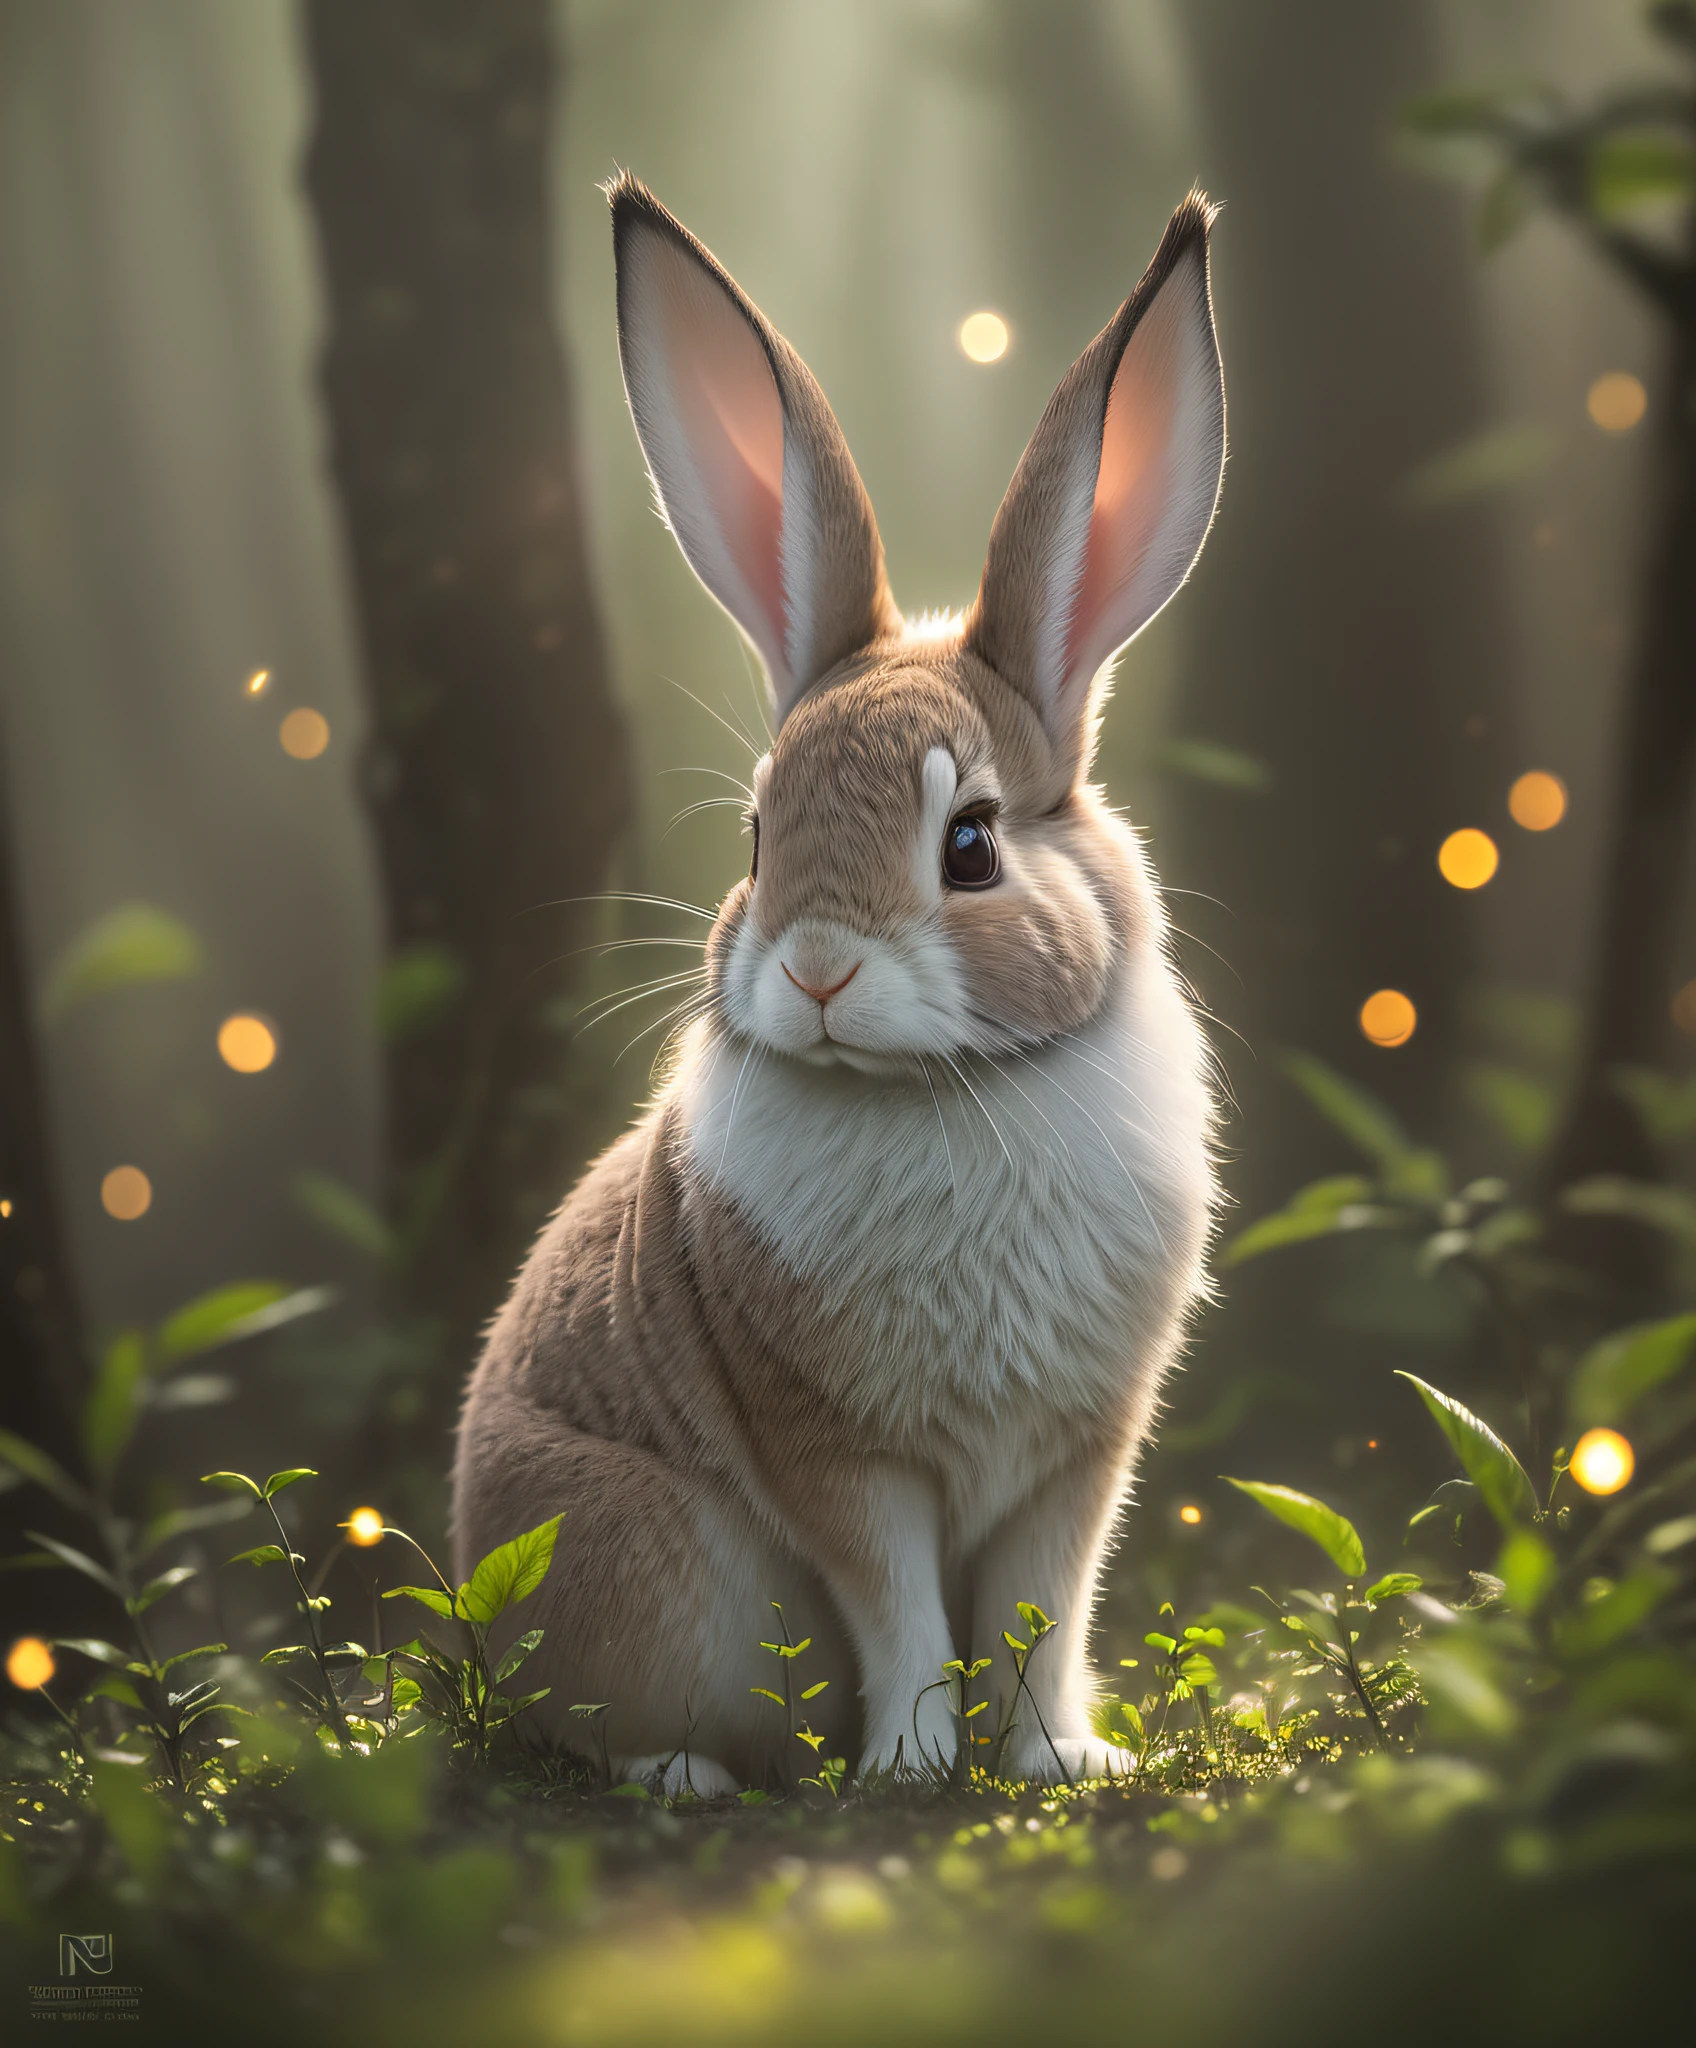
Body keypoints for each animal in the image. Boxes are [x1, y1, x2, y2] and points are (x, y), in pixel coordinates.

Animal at [450, 167, 1228, 1785]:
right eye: (759, 832)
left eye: (973, 842)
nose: (814, 970)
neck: (935, 1091)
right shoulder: (836, 1450)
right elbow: (899, 1609)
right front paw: (915, 1766)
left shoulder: (1080, 1451)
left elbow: (1043, 1607)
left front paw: (1058, 1763)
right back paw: (682, 1774)